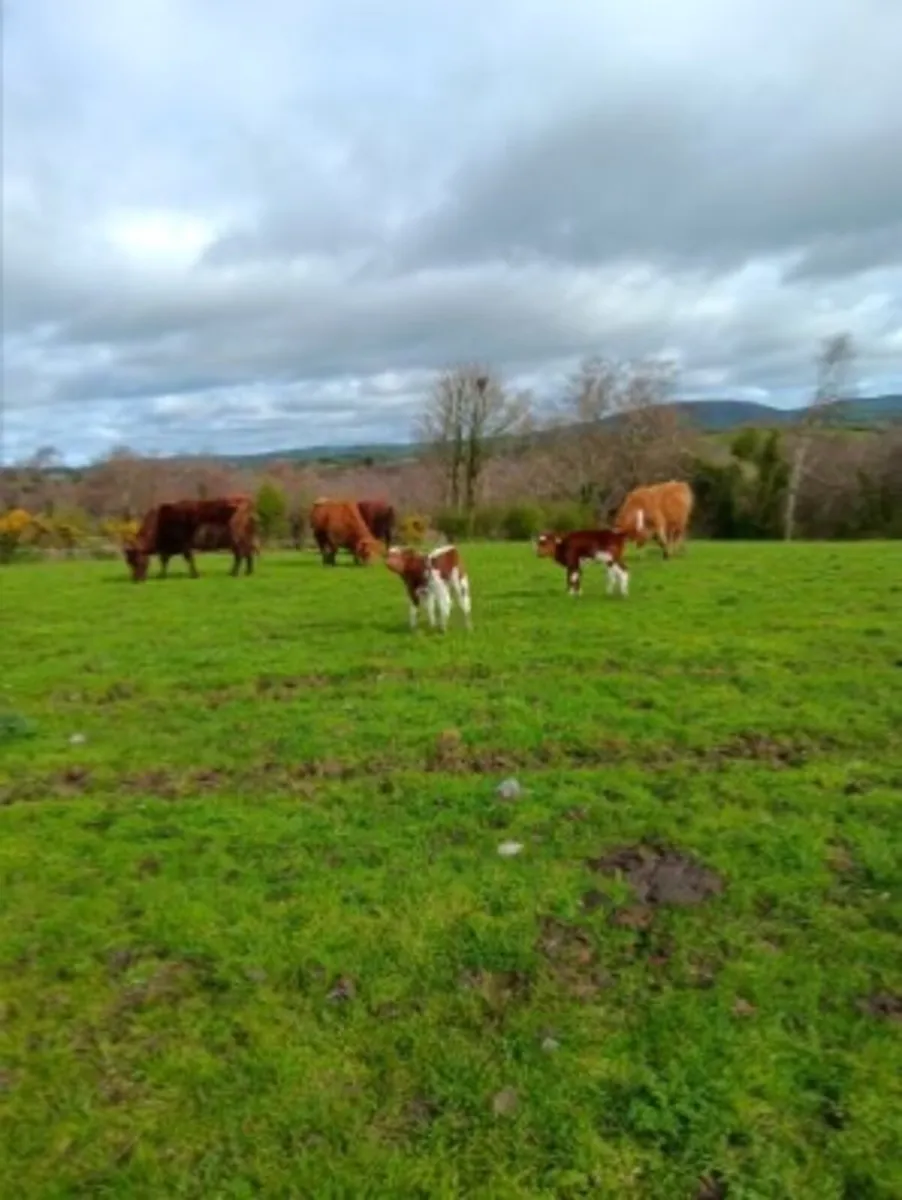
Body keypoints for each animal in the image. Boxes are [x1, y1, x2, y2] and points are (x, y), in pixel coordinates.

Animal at [124, 495, 258, 582]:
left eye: (136, 560)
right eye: (129, 562)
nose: (136, 579)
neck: (160, 521)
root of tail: (246, 501)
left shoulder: (185, 545)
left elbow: (189, 559)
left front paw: (195, 575)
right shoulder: (167, 548)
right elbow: (164, 561)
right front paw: (161, 575)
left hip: (236, 539)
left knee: (240, 554)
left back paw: (234, 573)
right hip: (246, 539)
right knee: (248, 553)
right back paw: (248, 572)